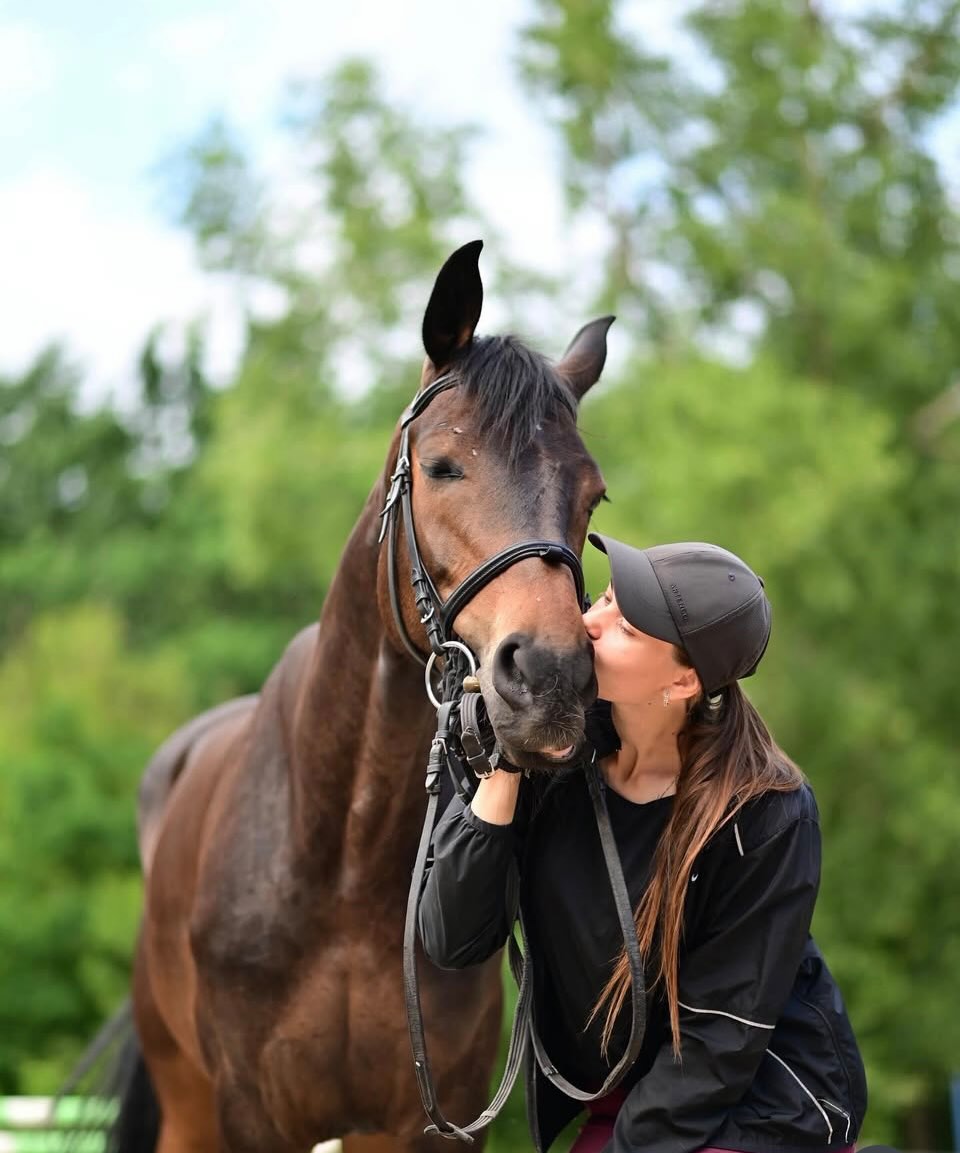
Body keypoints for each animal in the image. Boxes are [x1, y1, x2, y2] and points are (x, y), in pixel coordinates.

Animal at [102, 240, 612, 1153]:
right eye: (441, 467)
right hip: (186, 1103)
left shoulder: (429, 1116)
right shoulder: (253, 1114)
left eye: (591, 495)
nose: (550, 677)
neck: (342, 857)